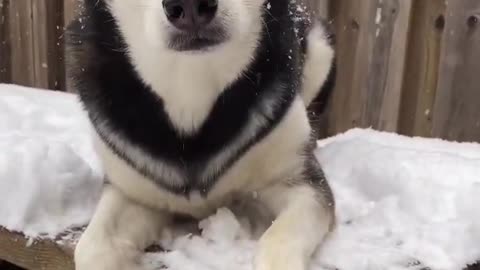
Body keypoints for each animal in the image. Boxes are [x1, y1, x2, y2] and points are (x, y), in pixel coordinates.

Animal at [66, 0, 338, 268]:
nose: (190, 6)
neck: (191, 86)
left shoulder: (296, 177)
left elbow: (279, 238)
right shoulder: (130, 189)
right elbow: (90, 248)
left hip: (321, 45)